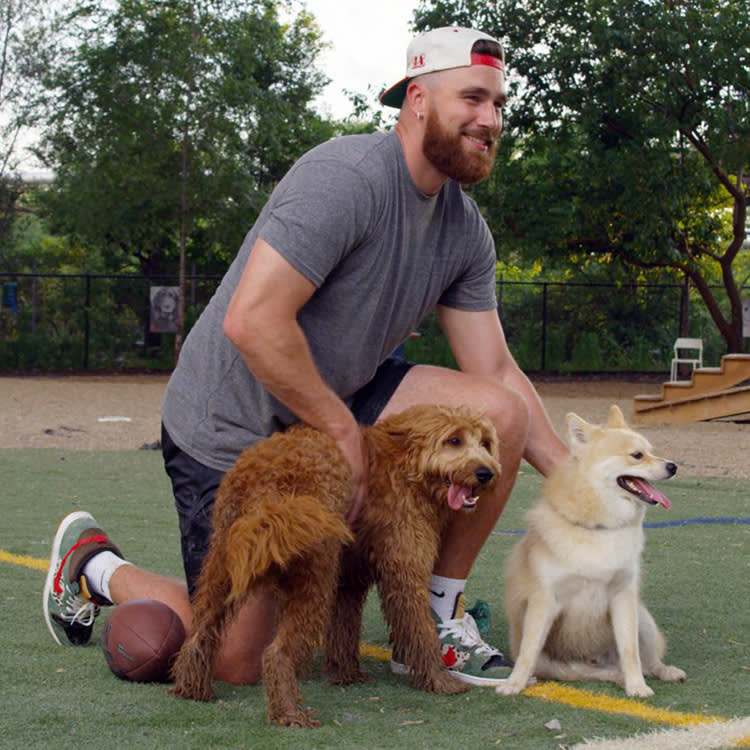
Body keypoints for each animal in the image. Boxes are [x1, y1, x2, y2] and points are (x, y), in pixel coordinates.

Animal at [169, 406, 500, 728]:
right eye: (454, 440)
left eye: (485, 443)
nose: (486, 473)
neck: (408, 465)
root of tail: (265, 482)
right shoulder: (406, 568)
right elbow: (422, 630)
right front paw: (440, 681)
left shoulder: (349, 578)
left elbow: (344, 628)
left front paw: (346, 675)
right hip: (314, 578)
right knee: (276, 653)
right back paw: (289, 713)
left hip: (221, 567)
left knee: (200, 633)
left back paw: (192, 688)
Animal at [496, 406, 692, 700]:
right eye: (637, 455)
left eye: (651, 451)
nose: (673, 466)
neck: (599, 529)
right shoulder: (544, 601)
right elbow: (527, 653)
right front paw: (514, 683)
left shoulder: (623, 597)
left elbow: (631, 652)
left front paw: (637, 686)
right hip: (559, 663)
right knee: (591, 672)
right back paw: (616, 676)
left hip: (642, 619)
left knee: (649, 661)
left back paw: (662, 672)